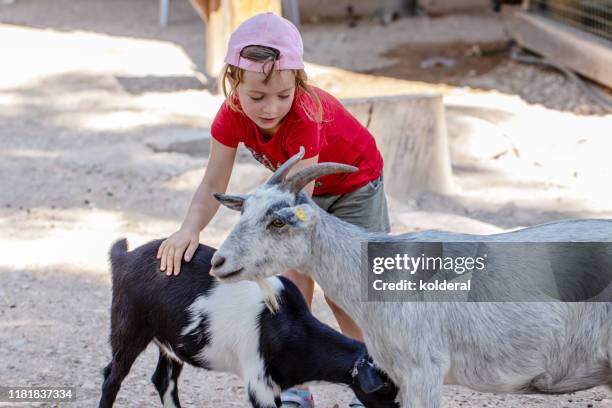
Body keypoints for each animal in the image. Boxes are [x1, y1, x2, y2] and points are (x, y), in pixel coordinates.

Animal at [97, 239, 396, 408]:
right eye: (388, 390)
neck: (291, 327)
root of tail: (124, 257)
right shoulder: (259, 382)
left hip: (171, 340)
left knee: (164, 380)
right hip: (128, 325)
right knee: (112, 376)